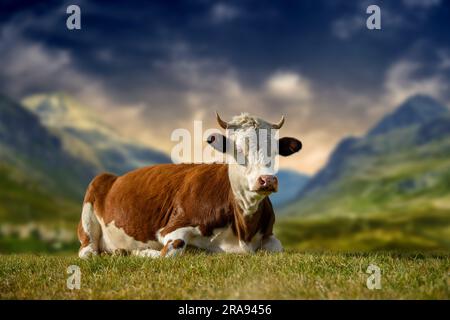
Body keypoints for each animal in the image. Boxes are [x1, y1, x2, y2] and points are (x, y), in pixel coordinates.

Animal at [77, 112, 302, 258]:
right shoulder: (172, 227)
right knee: (87, 251)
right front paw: (141, 252)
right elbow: (168, 252)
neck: (243, 230)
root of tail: (114, 177)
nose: (267, 180)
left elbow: (278, 248)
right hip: (91, 204)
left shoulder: (269, 235)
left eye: (275, 151)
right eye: (237, 149)